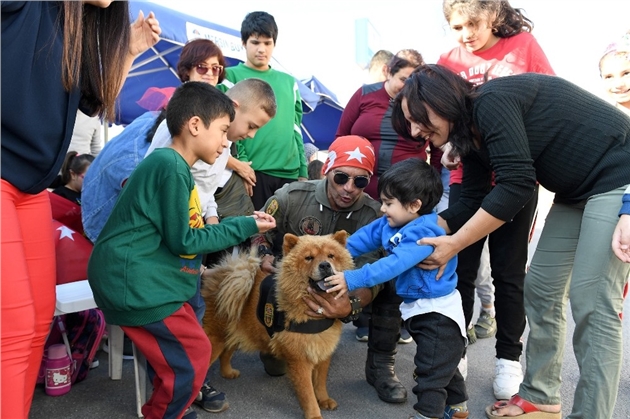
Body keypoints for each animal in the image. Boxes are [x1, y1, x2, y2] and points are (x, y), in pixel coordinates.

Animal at [205, 233, 358, 419]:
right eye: (309, 258)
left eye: (331, 256)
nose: (325, 265)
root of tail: (221, 275)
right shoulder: (300, 359)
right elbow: (307, 392)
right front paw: (315, 414)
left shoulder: (322, 351)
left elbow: (320, 382)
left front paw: (324, 400)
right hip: (215, 339)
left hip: (237, 332)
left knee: (226, 354)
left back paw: (228, 372)